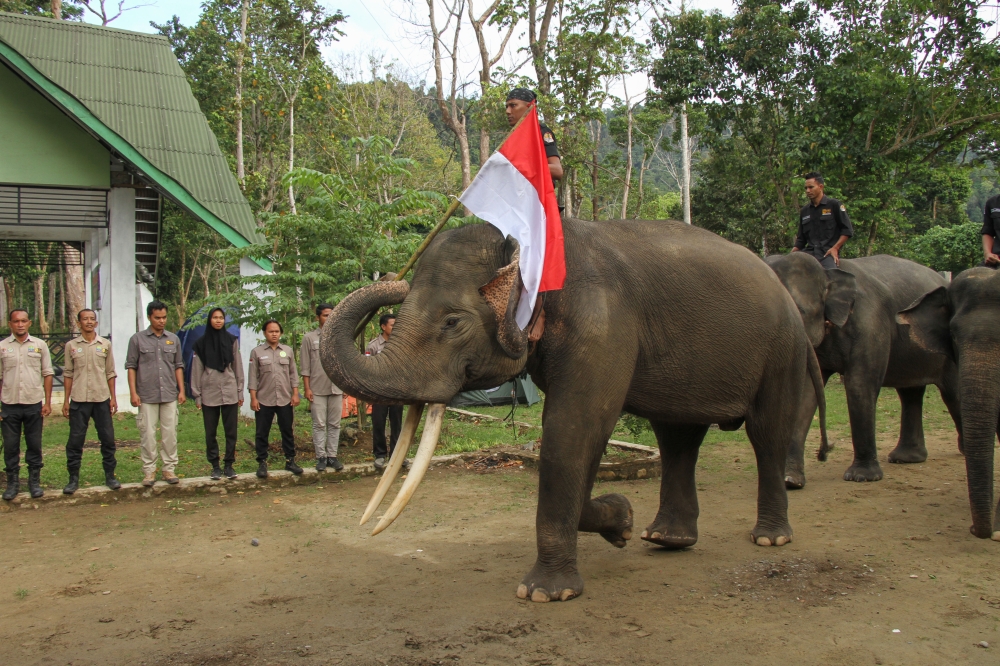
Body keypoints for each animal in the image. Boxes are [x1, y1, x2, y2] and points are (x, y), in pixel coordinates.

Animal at [321, 220, 827, 603]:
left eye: (452, 322)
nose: (392, 276)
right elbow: (582, 438)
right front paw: (621, 522)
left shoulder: (603, 324)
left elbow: (573, 429)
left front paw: (545, 593)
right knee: (677, 436)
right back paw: (666, 539)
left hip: (782, 349)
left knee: (766, 433)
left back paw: (770, 537)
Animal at [765, 252, 962, 487]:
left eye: (800, 311)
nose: (824, 452)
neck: (827, 273)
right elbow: (806, 392)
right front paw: (790, 481)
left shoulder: (870, 323)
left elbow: (859, 385)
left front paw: (861, 477)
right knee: (910, 393)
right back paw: (906, 458)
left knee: (953, 392)